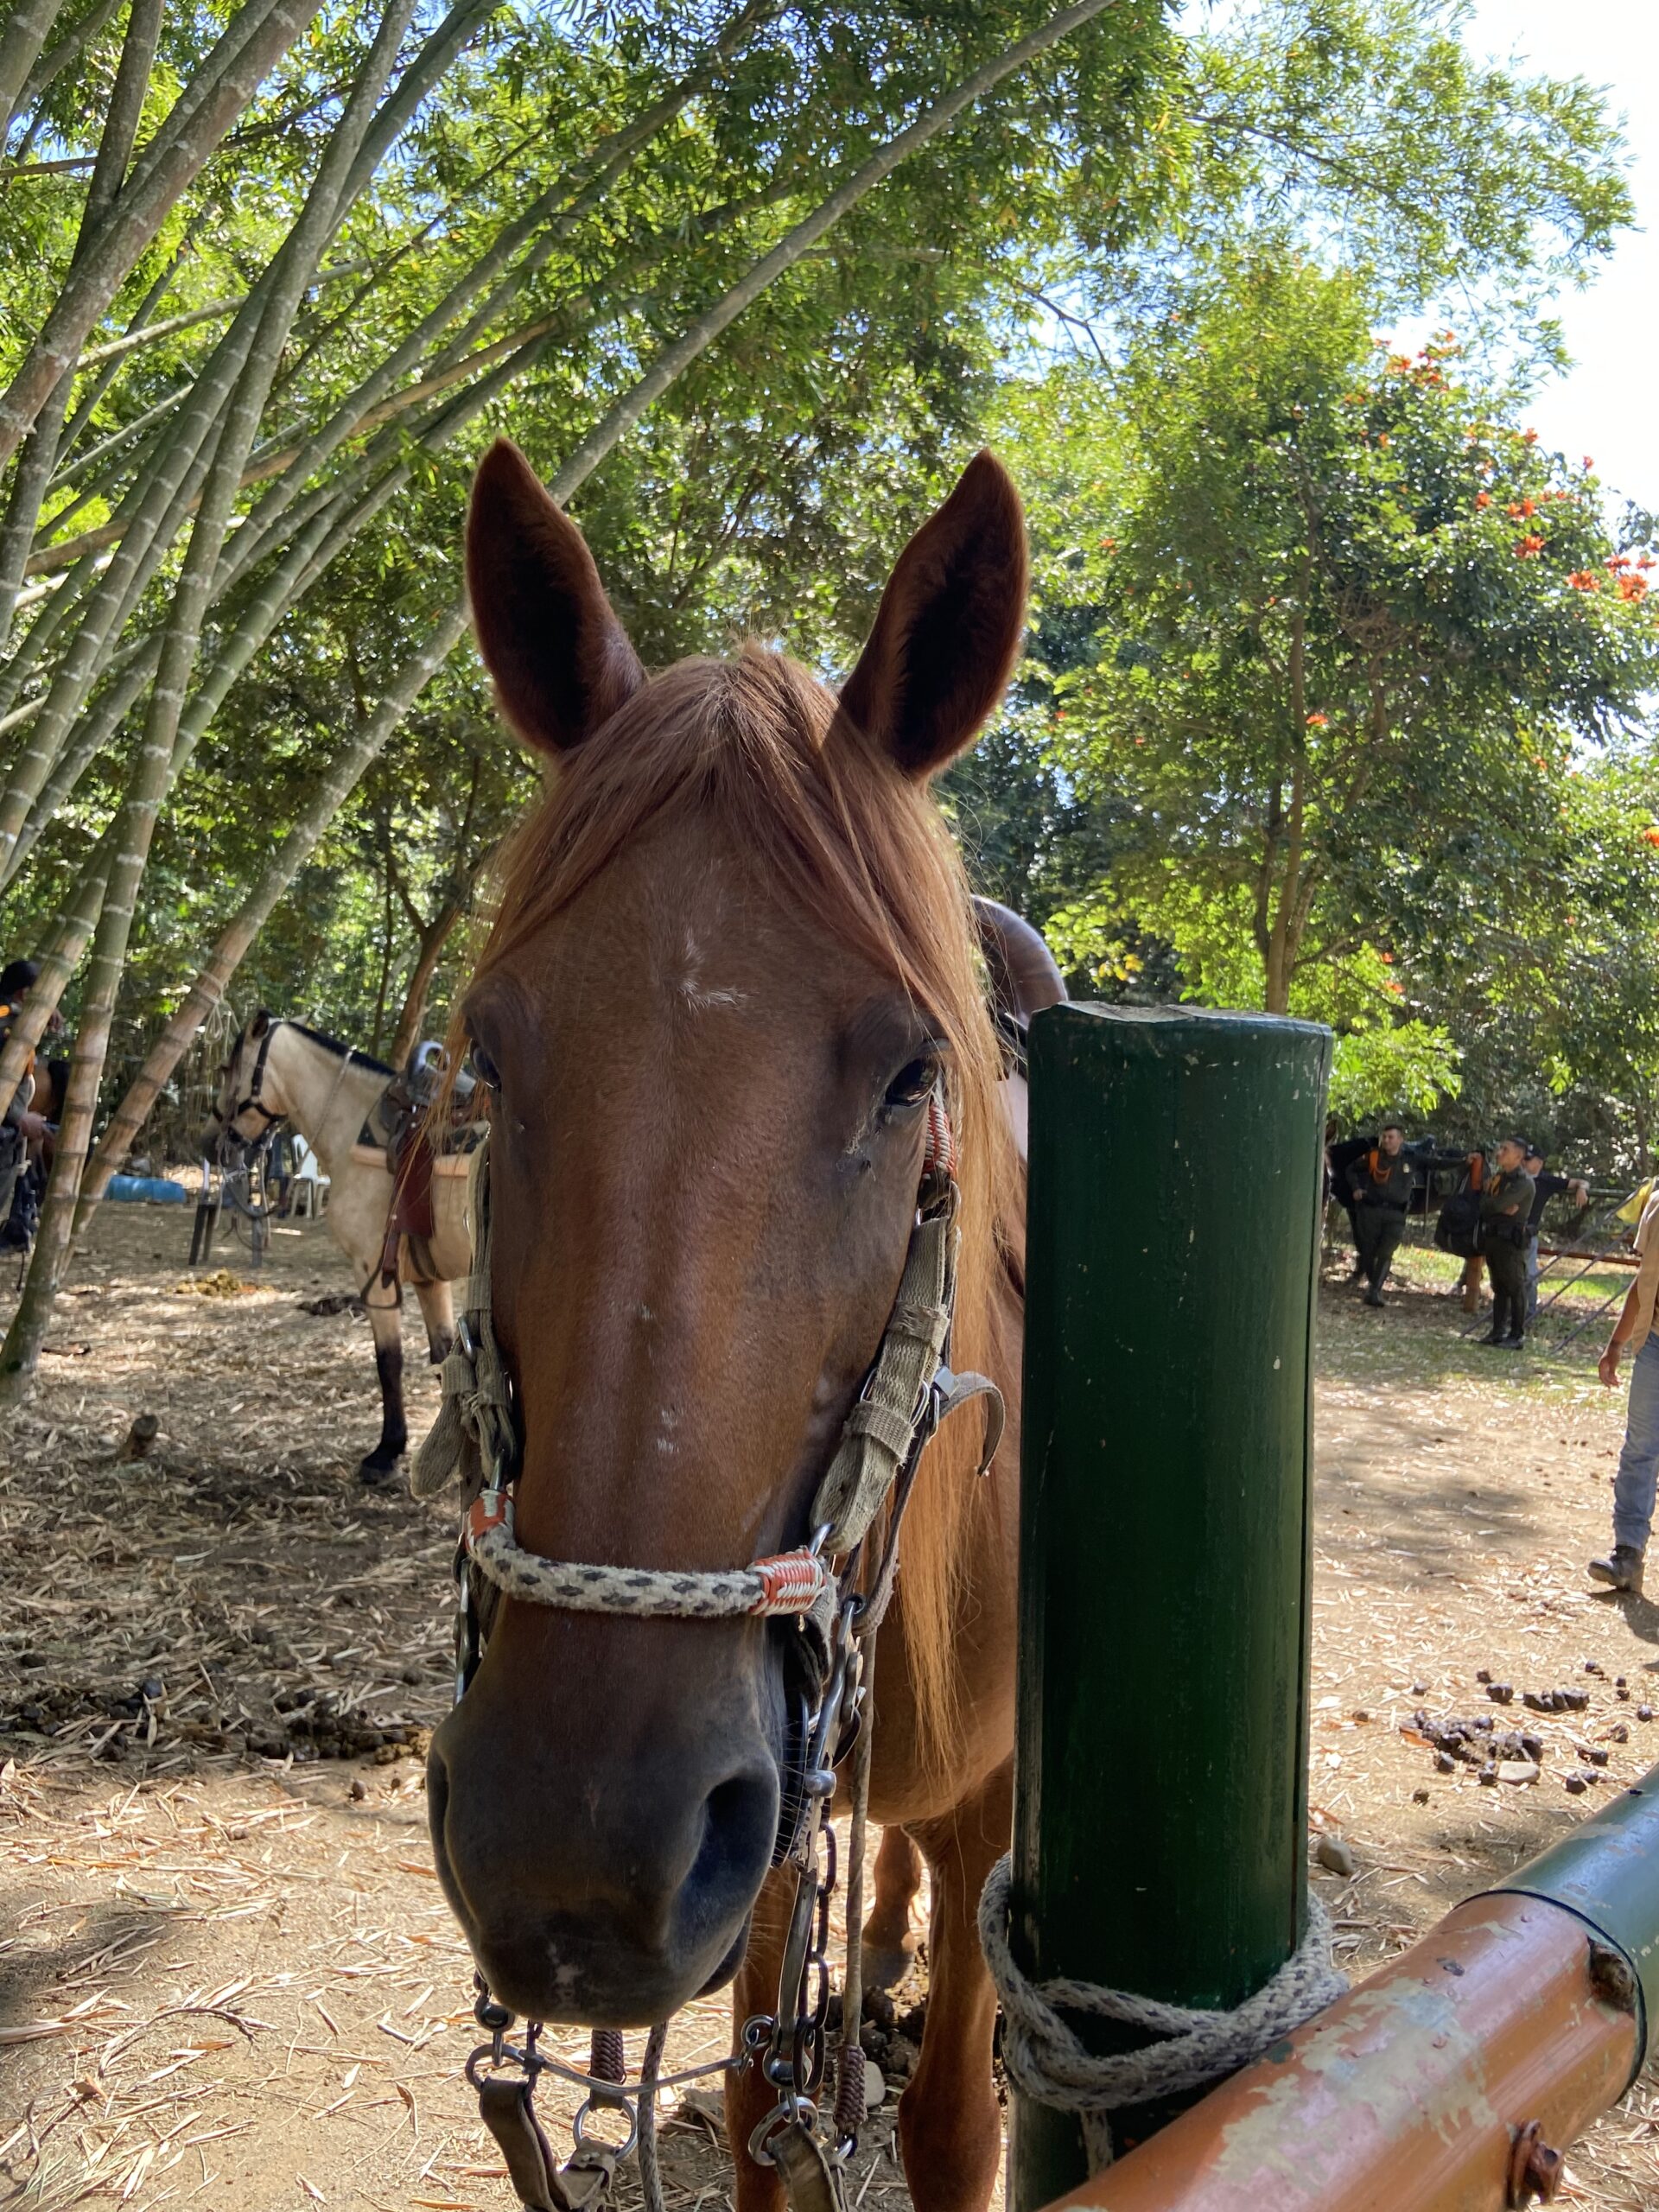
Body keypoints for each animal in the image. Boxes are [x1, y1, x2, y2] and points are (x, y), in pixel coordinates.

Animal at [208, 1017, 473, 1486]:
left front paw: (386, 1453)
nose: (213, 1142)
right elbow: (444, 1357)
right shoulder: (429, 1278)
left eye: (227, 1069)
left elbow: (389, 1361)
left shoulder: (373, 1271)